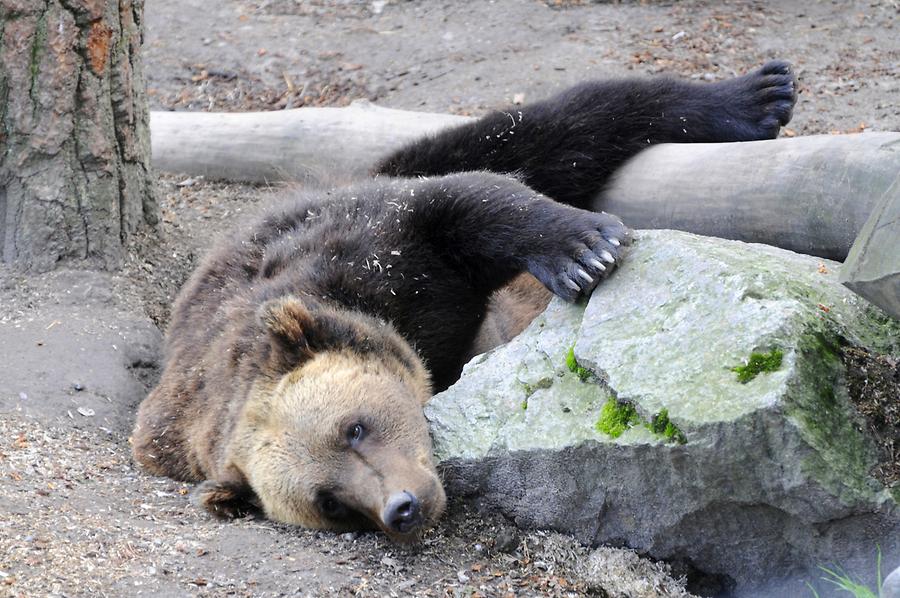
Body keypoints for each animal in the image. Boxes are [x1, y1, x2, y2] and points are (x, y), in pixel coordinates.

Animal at [132, 61, 796, 540]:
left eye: (354, 427)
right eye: (330, 503)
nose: (401, 506)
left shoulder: (375, 256)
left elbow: (462, 206)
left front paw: (583, 250)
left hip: (378, 170)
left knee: (548, 130)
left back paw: (756, 95)